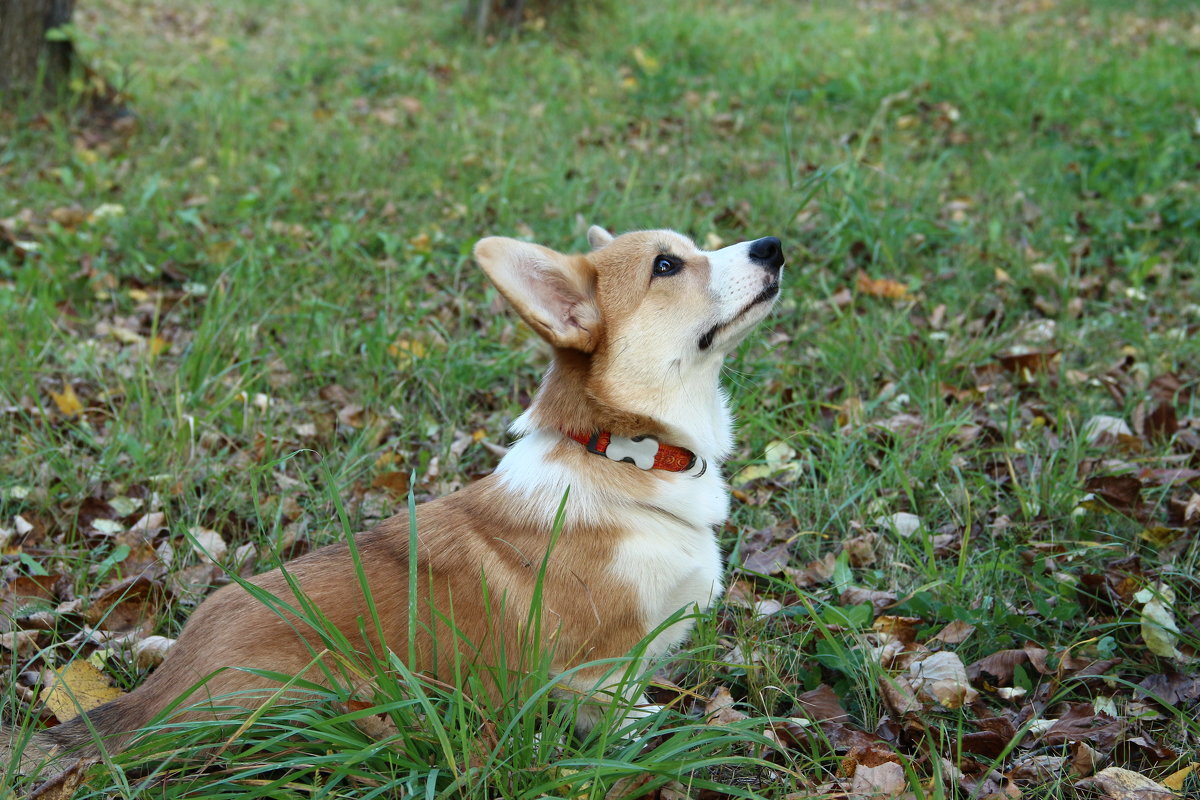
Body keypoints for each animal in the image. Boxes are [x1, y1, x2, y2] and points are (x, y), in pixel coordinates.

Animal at [7, 224, 787, 767]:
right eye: (666, 265)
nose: (774, 246)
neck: (621, 452)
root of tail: (160, 698)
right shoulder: (598, 668)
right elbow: (625, 711)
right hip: (332, 698)